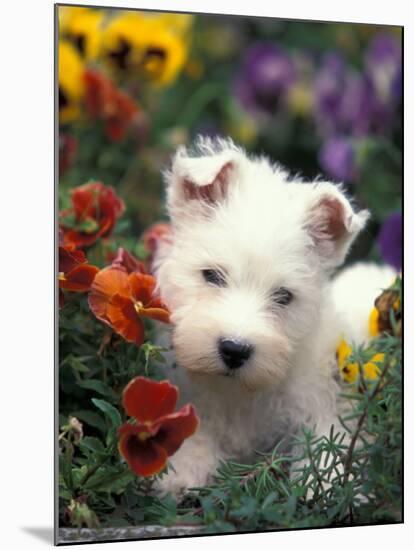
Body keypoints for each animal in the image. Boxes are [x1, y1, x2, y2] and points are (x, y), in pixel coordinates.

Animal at [154, 137, 392, 500]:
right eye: (212, 276)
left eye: (283, 296)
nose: (234, 350)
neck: (240, 392)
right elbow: (195, 426)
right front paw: (181, 468)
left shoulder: (322, 404)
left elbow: (326, 440)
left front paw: (327, 486)